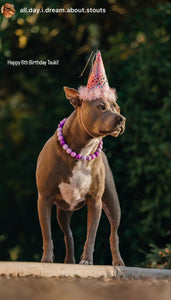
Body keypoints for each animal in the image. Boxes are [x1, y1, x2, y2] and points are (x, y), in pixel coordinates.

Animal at [35, 85, 125, 266]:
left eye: (118, 108)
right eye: (101, 106)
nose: (122, 119)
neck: (82, 151)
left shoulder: (95, 201)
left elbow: (91, 234)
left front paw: (87, 260)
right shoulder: (44, 199)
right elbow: (47, 233)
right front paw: (46, 259)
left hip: (112, 204)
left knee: (114, 234)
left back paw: (118, 261)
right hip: (63, 212)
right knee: (68, 234)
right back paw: (69, 260)